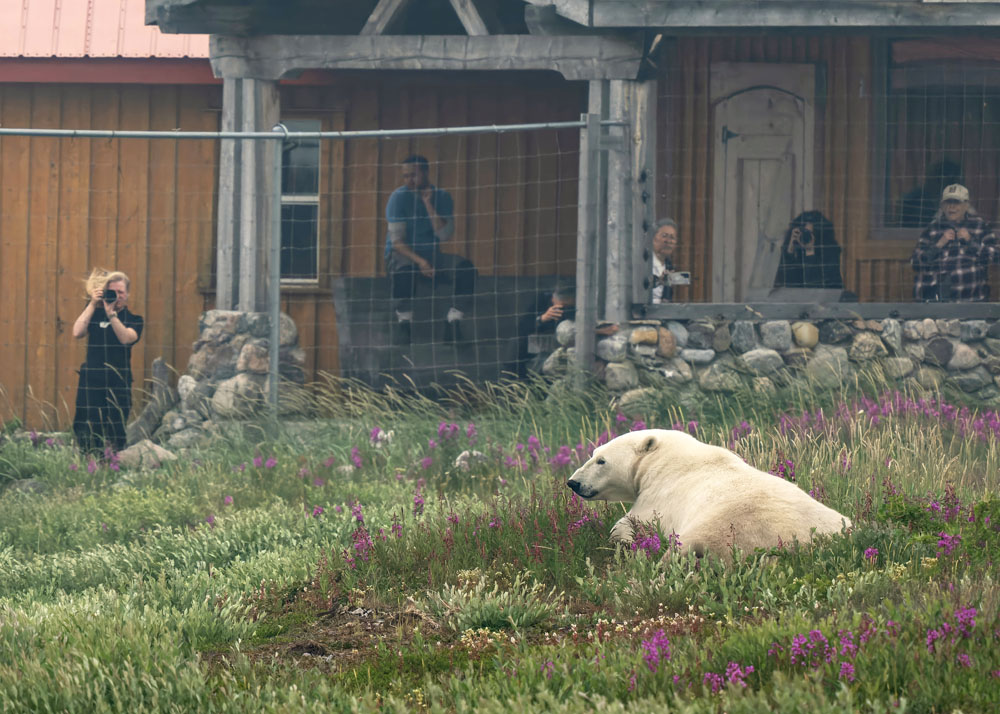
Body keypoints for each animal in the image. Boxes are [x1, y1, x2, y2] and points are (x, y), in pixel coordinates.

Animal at [566, 429, 852, 562]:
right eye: (594, 454)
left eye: (601, 461)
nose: (573, 482)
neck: (664, 458)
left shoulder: (661, 495)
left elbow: (632, 521)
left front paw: (624, 540)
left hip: (731, 521)